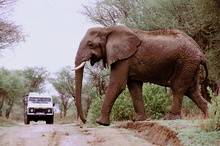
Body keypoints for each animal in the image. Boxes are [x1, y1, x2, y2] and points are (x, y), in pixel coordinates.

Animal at [73, 24, 209, 125]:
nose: (85, 121)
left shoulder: (125, 58)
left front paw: (101, 122)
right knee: (192, 91)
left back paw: (170, 118)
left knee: (178, 88)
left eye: (90, 44)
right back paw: (209, 115)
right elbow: (134, 87)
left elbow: (117, 84)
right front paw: (138, 120)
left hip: (185, 62)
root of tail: (200, 53)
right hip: (190, 64)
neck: (106, 29)